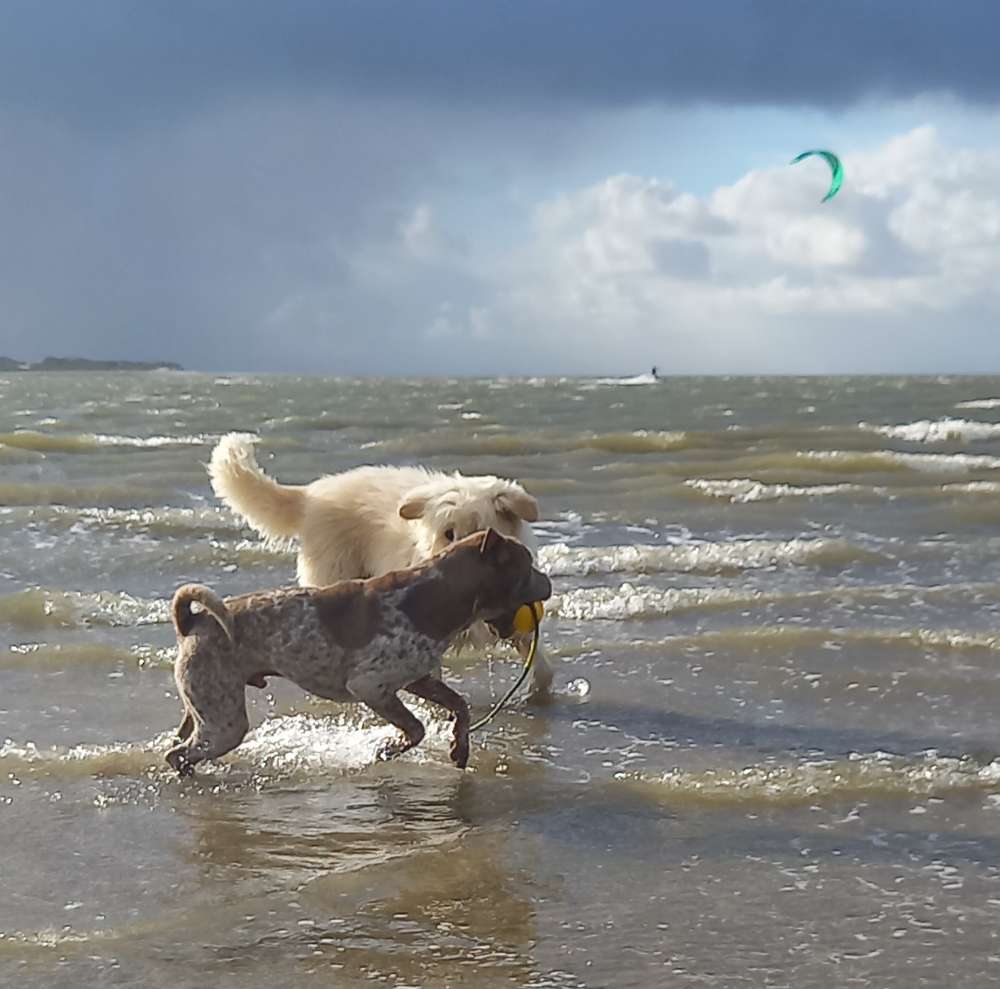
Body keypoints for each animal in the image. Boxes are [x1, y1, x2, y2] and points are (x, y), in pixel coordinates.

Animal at [167, 528, 552, 776]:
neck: (434, 593)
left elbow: (460, 706)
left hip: (206, 709)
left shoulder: (418, 679)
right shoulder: (372, 687)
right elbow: (415, 728)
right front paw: (388, 747)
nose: (549, 581)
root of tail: (194, 621)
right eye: (528, 565)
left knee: (180, 742)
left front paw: (460, 747)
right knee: (178, 755)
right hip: (225, 722)